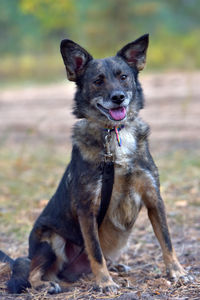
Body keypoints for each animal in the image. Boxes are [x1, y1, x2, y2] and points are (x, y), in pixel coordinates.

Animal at [0, 34, 191, 294]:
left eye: (123, 76)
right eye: (98, 81)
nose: (118, 97)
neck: (114, 133)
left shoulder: (154, 197)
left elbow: (167, 241)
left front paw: (177, 272)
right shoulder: (87, 207)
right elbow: (95, 250)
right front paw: (105, 282)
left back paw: (115, 268)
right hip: (51, 238)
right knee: (33, 274)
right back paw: (51, 284)